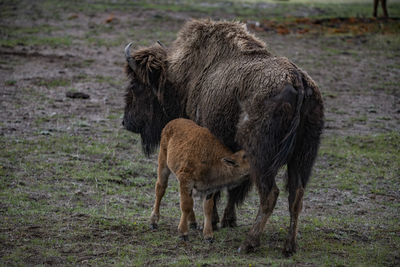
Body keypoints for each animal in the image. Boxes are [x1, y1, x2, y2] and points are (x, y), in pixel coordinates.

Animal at [122, 19, 324, 256]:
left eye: (136, 85)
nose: (126, 122)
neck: (186, 77)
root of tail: (297, 80)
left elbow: (213, 190)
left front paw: (207, 223)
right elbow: (233, 186)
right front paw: (227, 220)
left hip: (262, 158)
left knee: (270, 194)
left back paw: (248, 244)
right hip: (302, 157)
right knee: (296, 195)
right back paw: (288, 247)